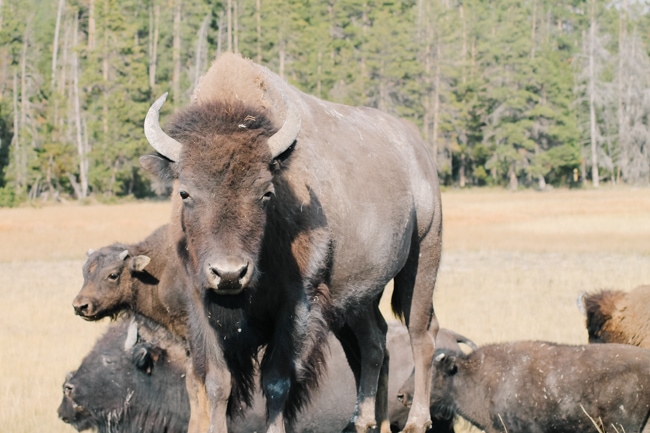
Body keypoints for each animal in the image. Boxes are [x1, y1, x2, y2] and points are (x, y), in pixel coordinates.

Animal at [141, 52, 442, 433]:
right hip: (358, 296)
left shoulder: (297, 304)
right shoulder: (201, 304)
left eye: (266, 192)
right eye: (185, 192)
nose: (229, 273)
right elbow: (218, 382)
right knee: (375, 342)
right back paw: (365, 420)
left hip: (423, 259)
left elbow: (276, 381)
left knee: (422, 333)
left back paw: (416, 420)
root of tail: (417, 150)